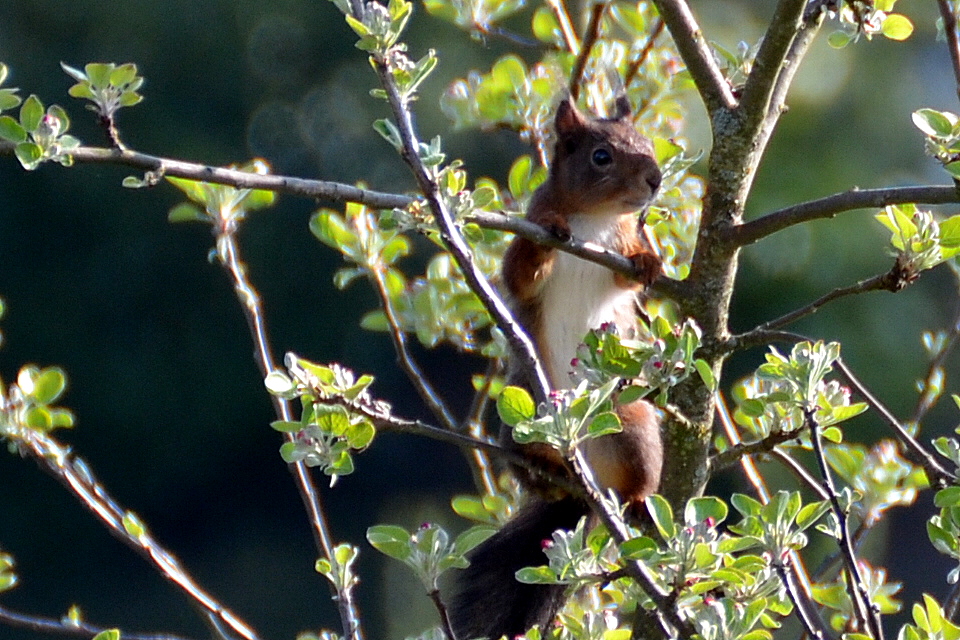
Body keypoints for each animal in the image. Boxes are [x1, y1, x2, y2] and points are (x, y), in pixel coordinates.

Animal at [449, 96, 665, 640]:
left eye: (648, 145)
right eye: (601, 157)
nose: (655, 179)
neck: (595, 219)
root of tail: (585, 485)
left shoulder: (620, 244)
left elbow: (629, 275)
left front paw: (650, 261)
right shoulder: (526, 235)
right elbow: (519, 273)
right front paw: (553, 233)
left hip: (632, 424)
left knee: (638, 474)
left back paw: (635, 499)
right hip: (522, 415)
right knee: (533, 469)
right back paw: (546, 472)